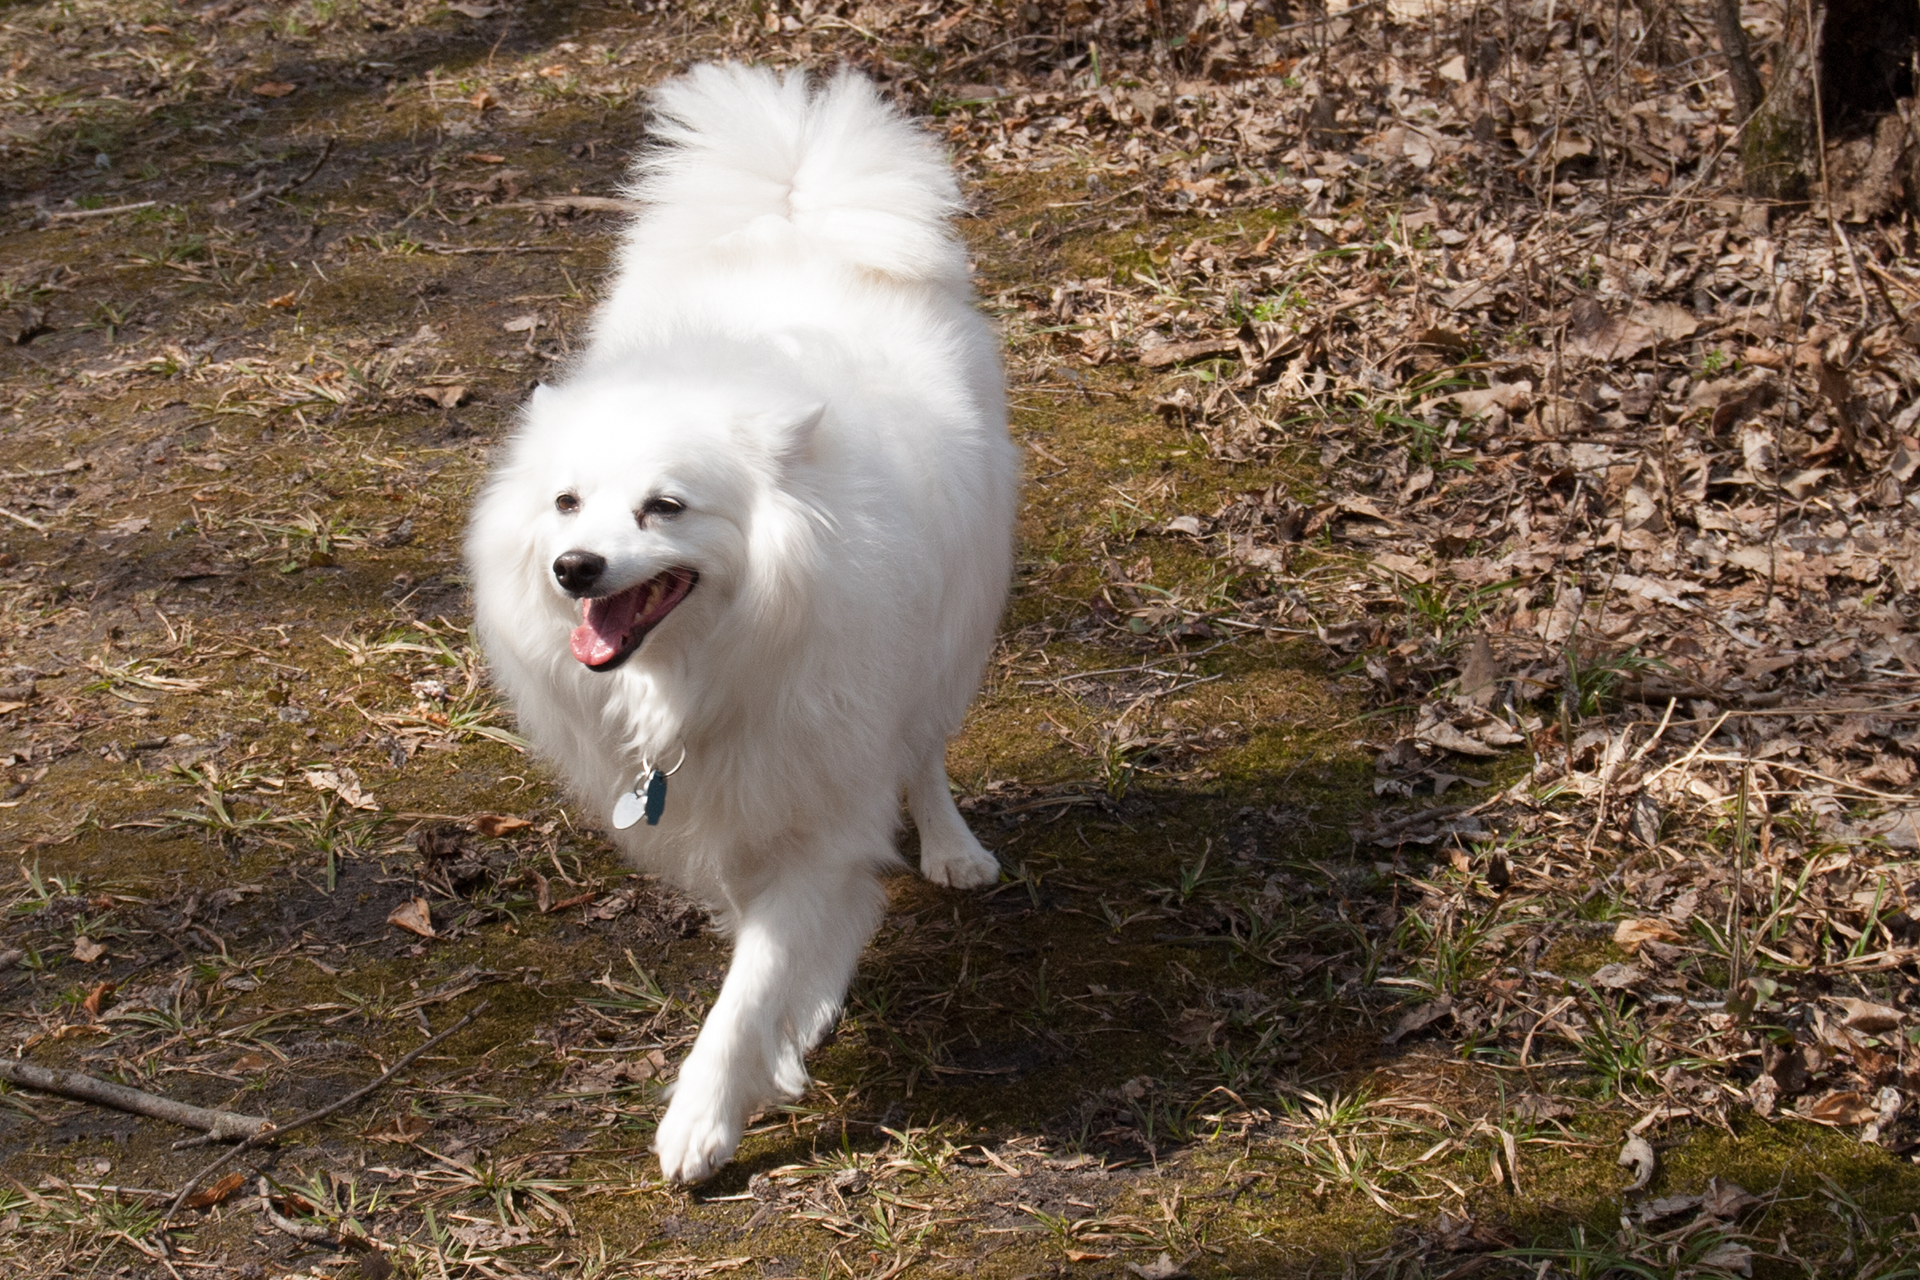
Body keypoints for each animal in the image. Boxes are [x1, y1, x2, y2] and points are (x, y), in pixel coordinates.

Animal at [462, 59, 1021, 1182]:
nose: (574, 569)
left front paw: (705, 1114)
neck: (705, 665)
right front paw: (788, 1033)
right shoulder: (731, 805)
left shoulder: (820, 804)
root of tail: (798, 206)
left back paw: (952, 847)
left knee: (928, 753)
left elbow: (755, 982)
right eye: (567, 502)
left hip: (948, 645)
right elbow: (761, 942)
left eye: (666, 506)